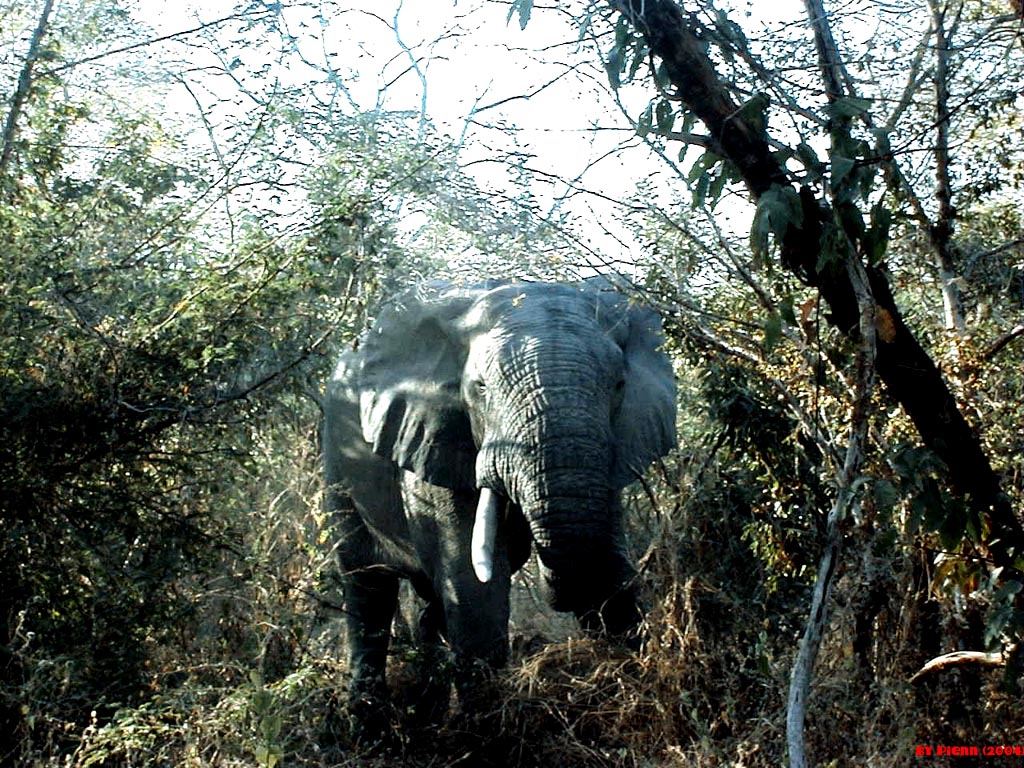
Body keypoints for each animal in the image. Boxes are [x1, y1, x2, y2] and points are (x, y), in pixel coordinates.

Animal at [323, 278, 675, 733]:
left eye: (618, 385)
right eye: (480, 388)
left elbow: (611, 568)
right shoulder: (434, 436)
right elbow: (472, 587)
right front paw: (487, 730)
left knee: (428, 600)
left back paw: (427, 710)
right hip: (336, 460)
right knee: (367, 588)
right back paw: (370, 724)